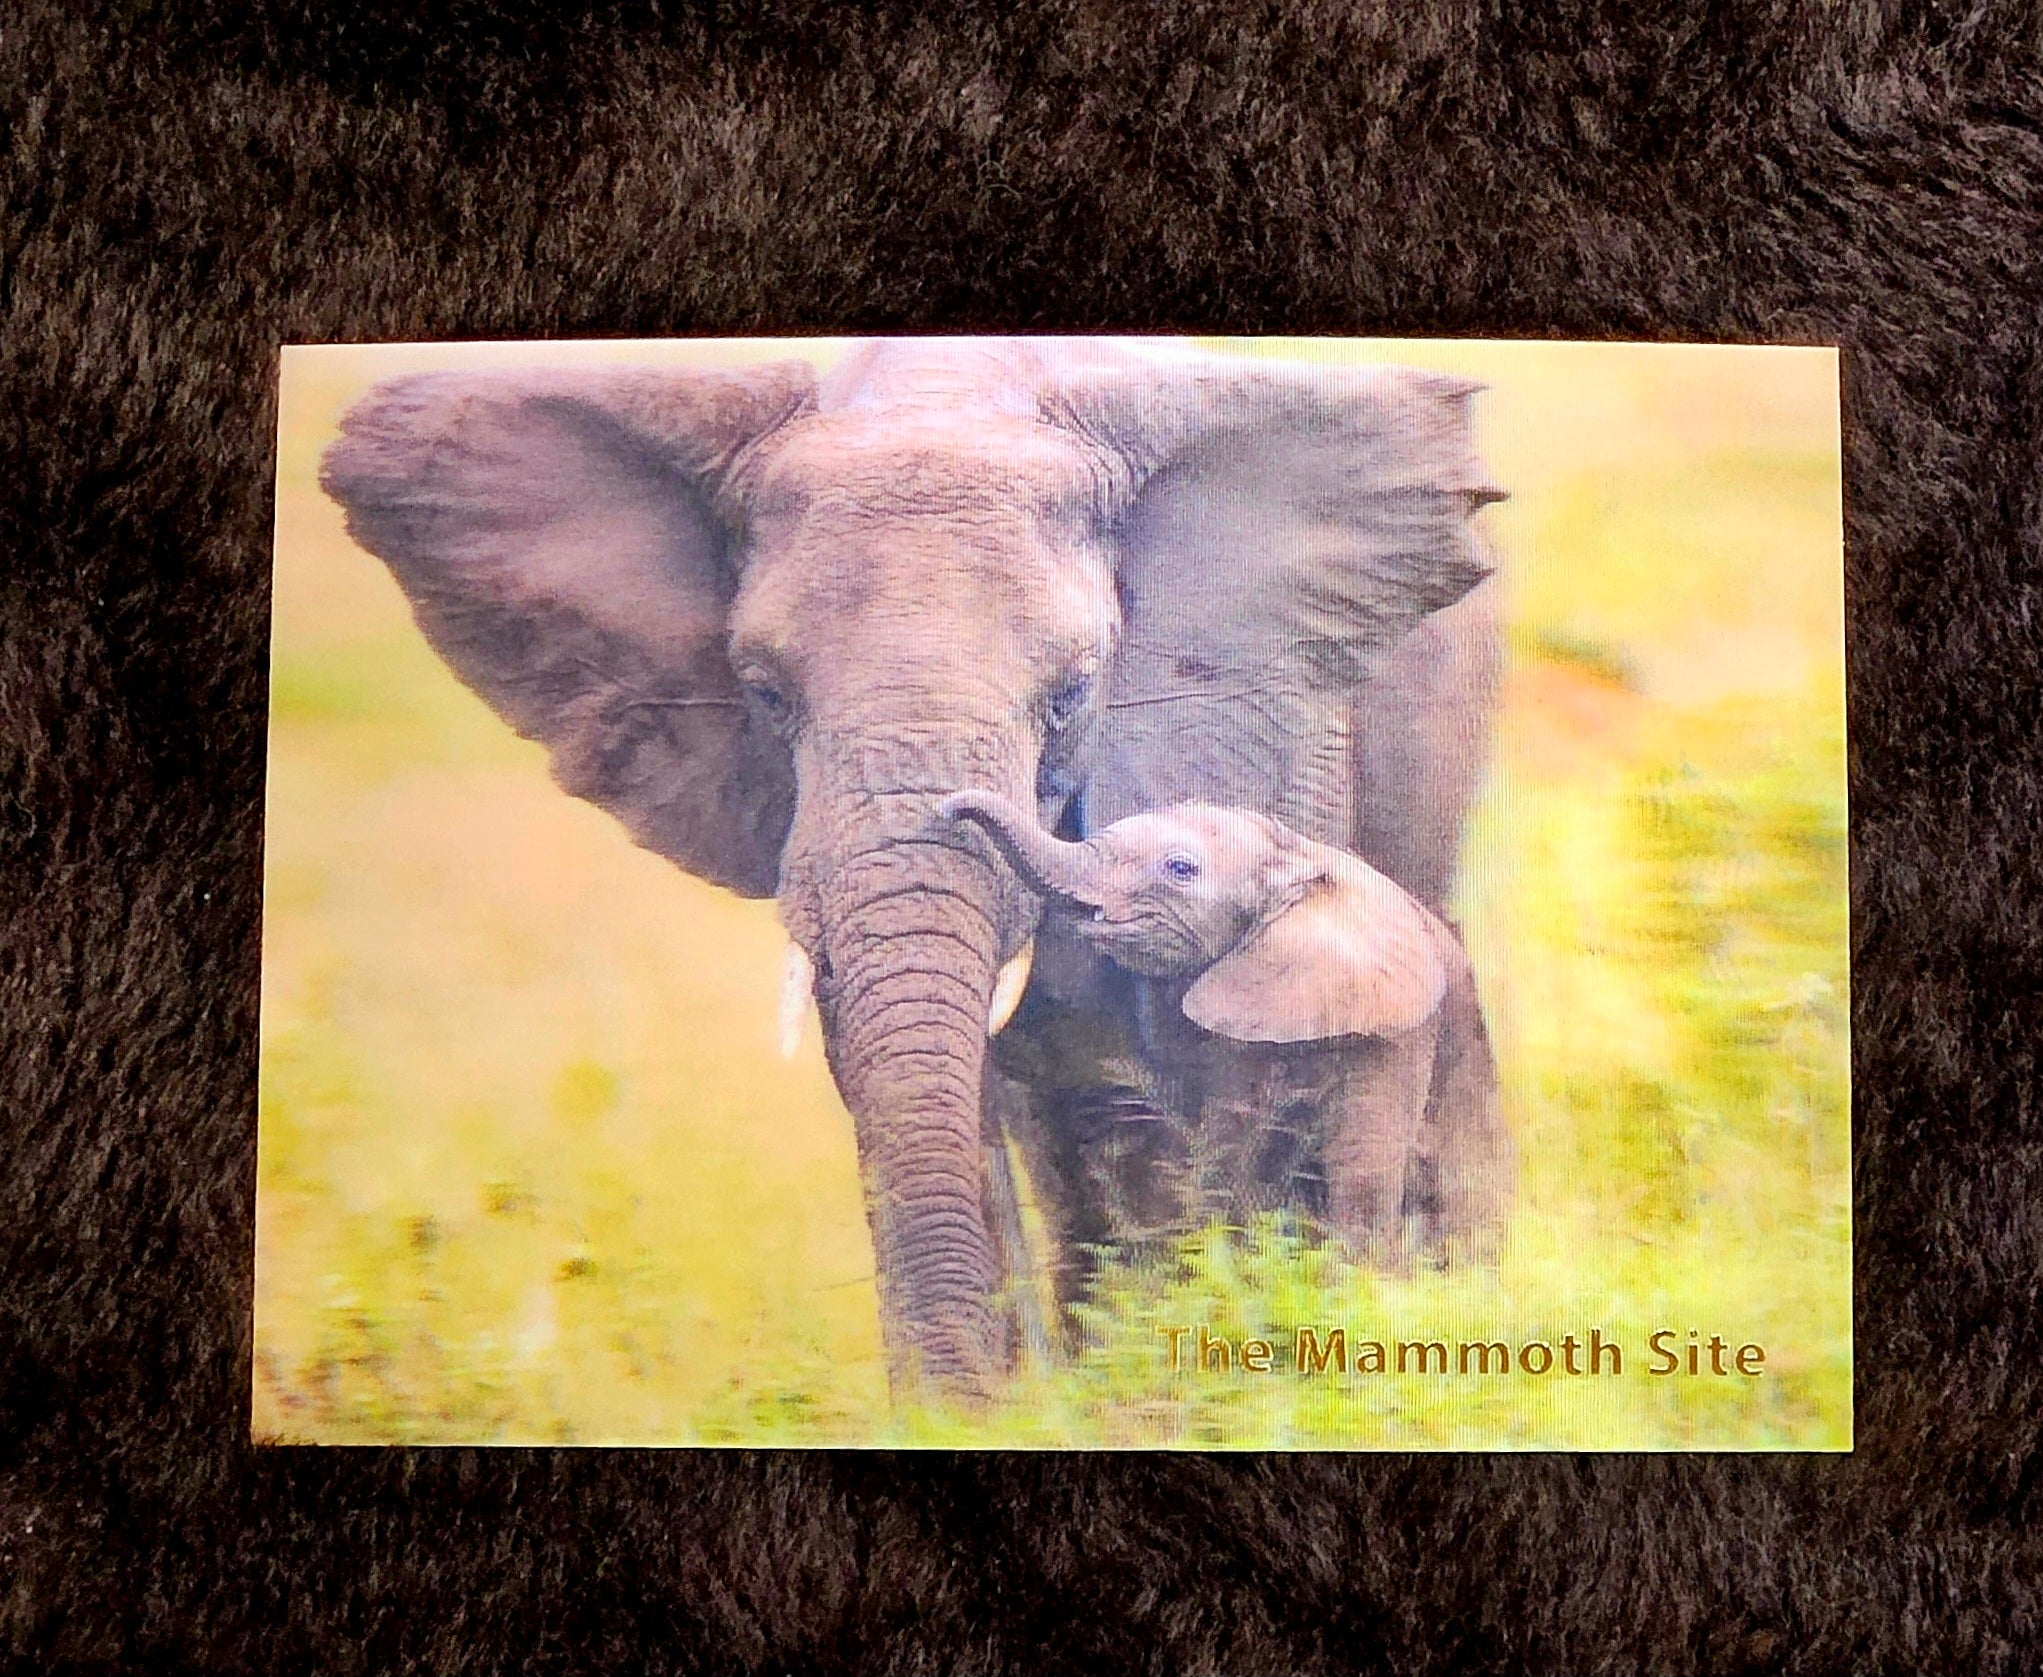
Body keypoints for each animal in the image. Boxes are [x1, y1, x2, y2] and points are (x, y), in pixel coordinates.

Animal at [939, 794, 1508, 1255]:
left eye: (1180, 869)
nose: (945, 810)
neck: (1299, 859)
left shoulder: (1398, 1029)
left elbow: (1359, 1171)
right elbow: (1229, 1150)